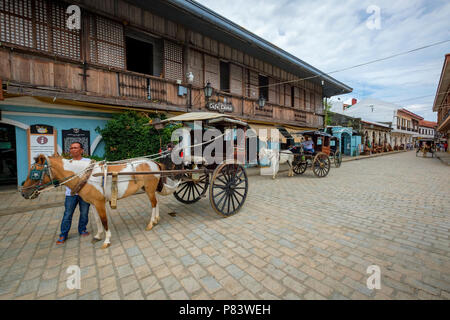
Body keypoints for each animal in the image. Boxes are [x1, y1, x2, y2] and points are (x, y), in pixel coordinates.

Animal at [21, 154, 177, 249]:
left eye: (35, 173)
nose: (23, 192)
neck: (85, 176)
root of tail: (154, 162)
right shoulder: (93, 203)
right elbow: (96, 220)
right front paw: (98, 235)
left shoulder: (100, 203)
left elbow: (104, 220)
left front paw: (107, 240)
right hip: (149, 189)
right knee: (155, 203)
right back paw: (156, 220)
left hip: (149, 189)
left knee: (153, 204)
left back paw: (151, 223)